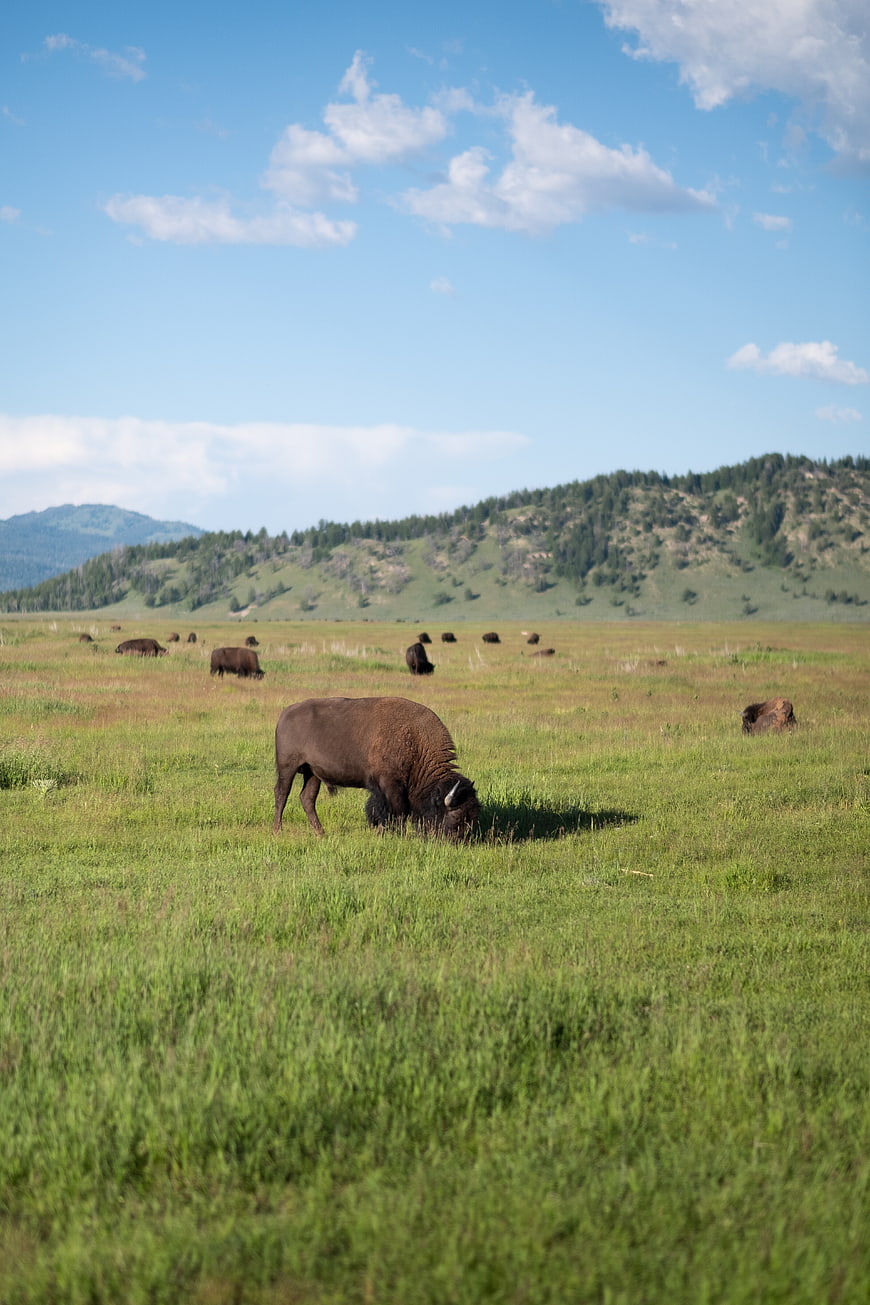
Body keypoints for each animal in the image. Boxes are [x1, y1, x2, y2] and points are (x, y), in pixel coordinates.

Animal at [273, 696, 479, 838]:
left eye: (473, 815)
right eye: (456, 816)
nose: (459, 840)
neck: (416, 742)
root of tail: (285, 713)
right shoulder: (389, 784)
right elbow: (396, 810)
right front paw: (393, 834)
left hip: (312, 773)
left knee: (307, 798)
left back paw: (320, 833)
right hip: (288, 768)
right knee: (281, 794)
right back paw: (277, 830)